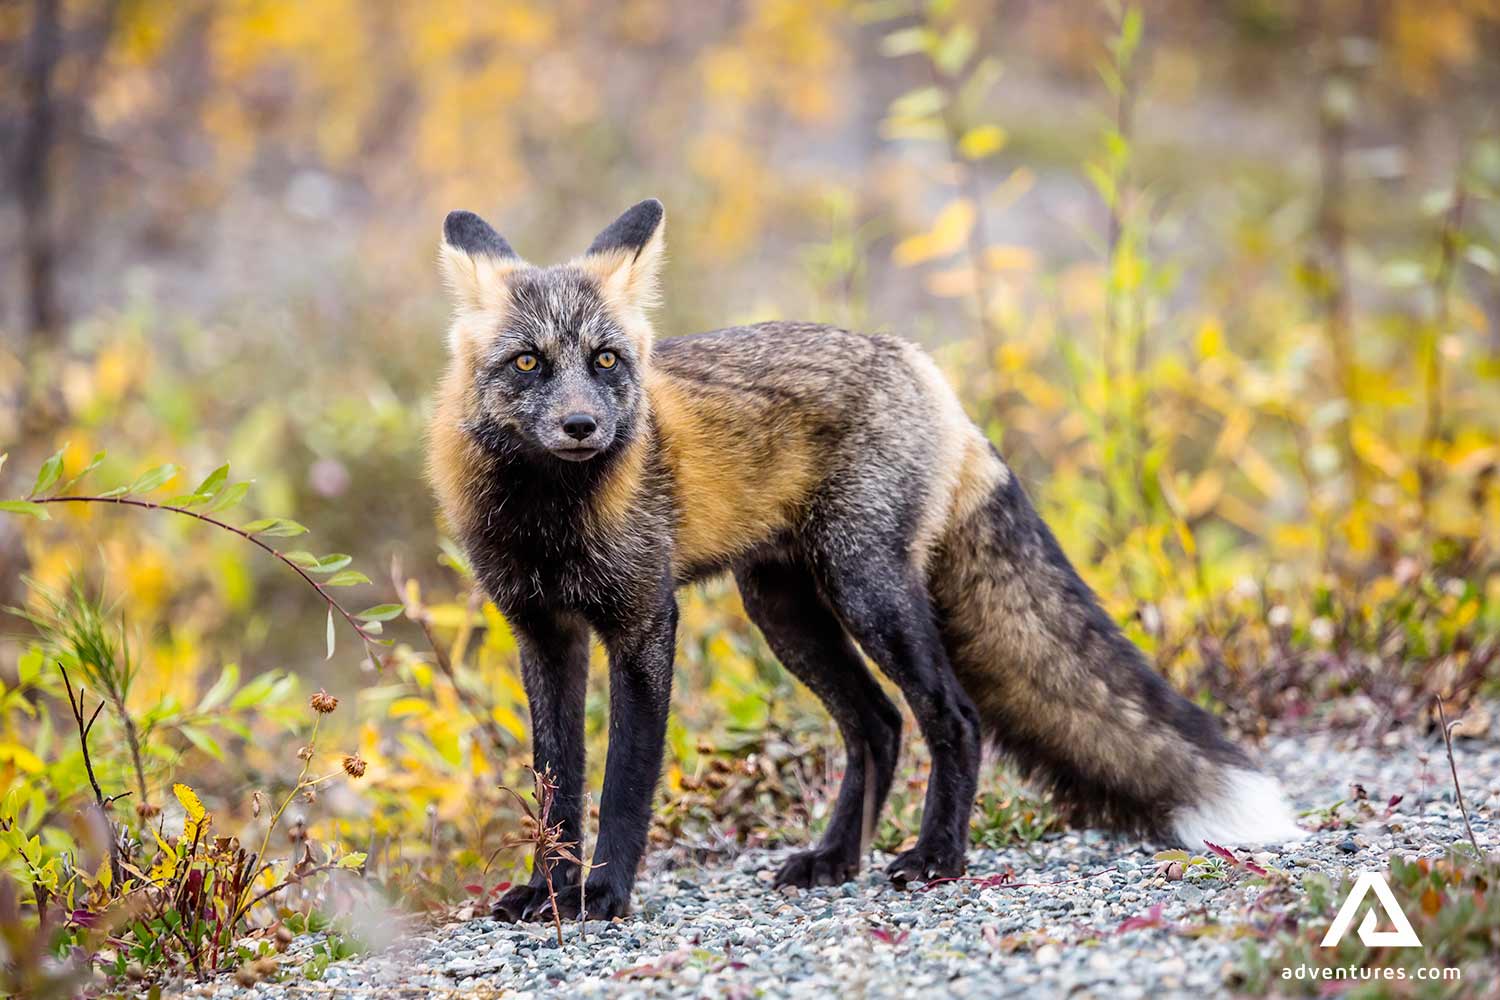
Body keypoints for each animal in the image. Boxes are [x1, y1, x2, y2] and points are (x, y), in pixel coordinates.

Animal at [427, 199, 1304, 923]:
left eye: (606, 360)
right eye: (529, 362)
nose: (581, 427)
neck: (550, 523)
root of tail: (917, 362)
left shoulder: (645, 621)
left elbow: (624, 786)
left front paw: (603, 895)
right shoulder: (544, 633)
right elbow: (556, 785)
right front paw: (548, 892)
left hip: (866, 589)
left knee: (950, 716)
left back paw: (938, 857)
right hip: (784, 608)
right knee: (878, 725)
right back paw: (835, 858)